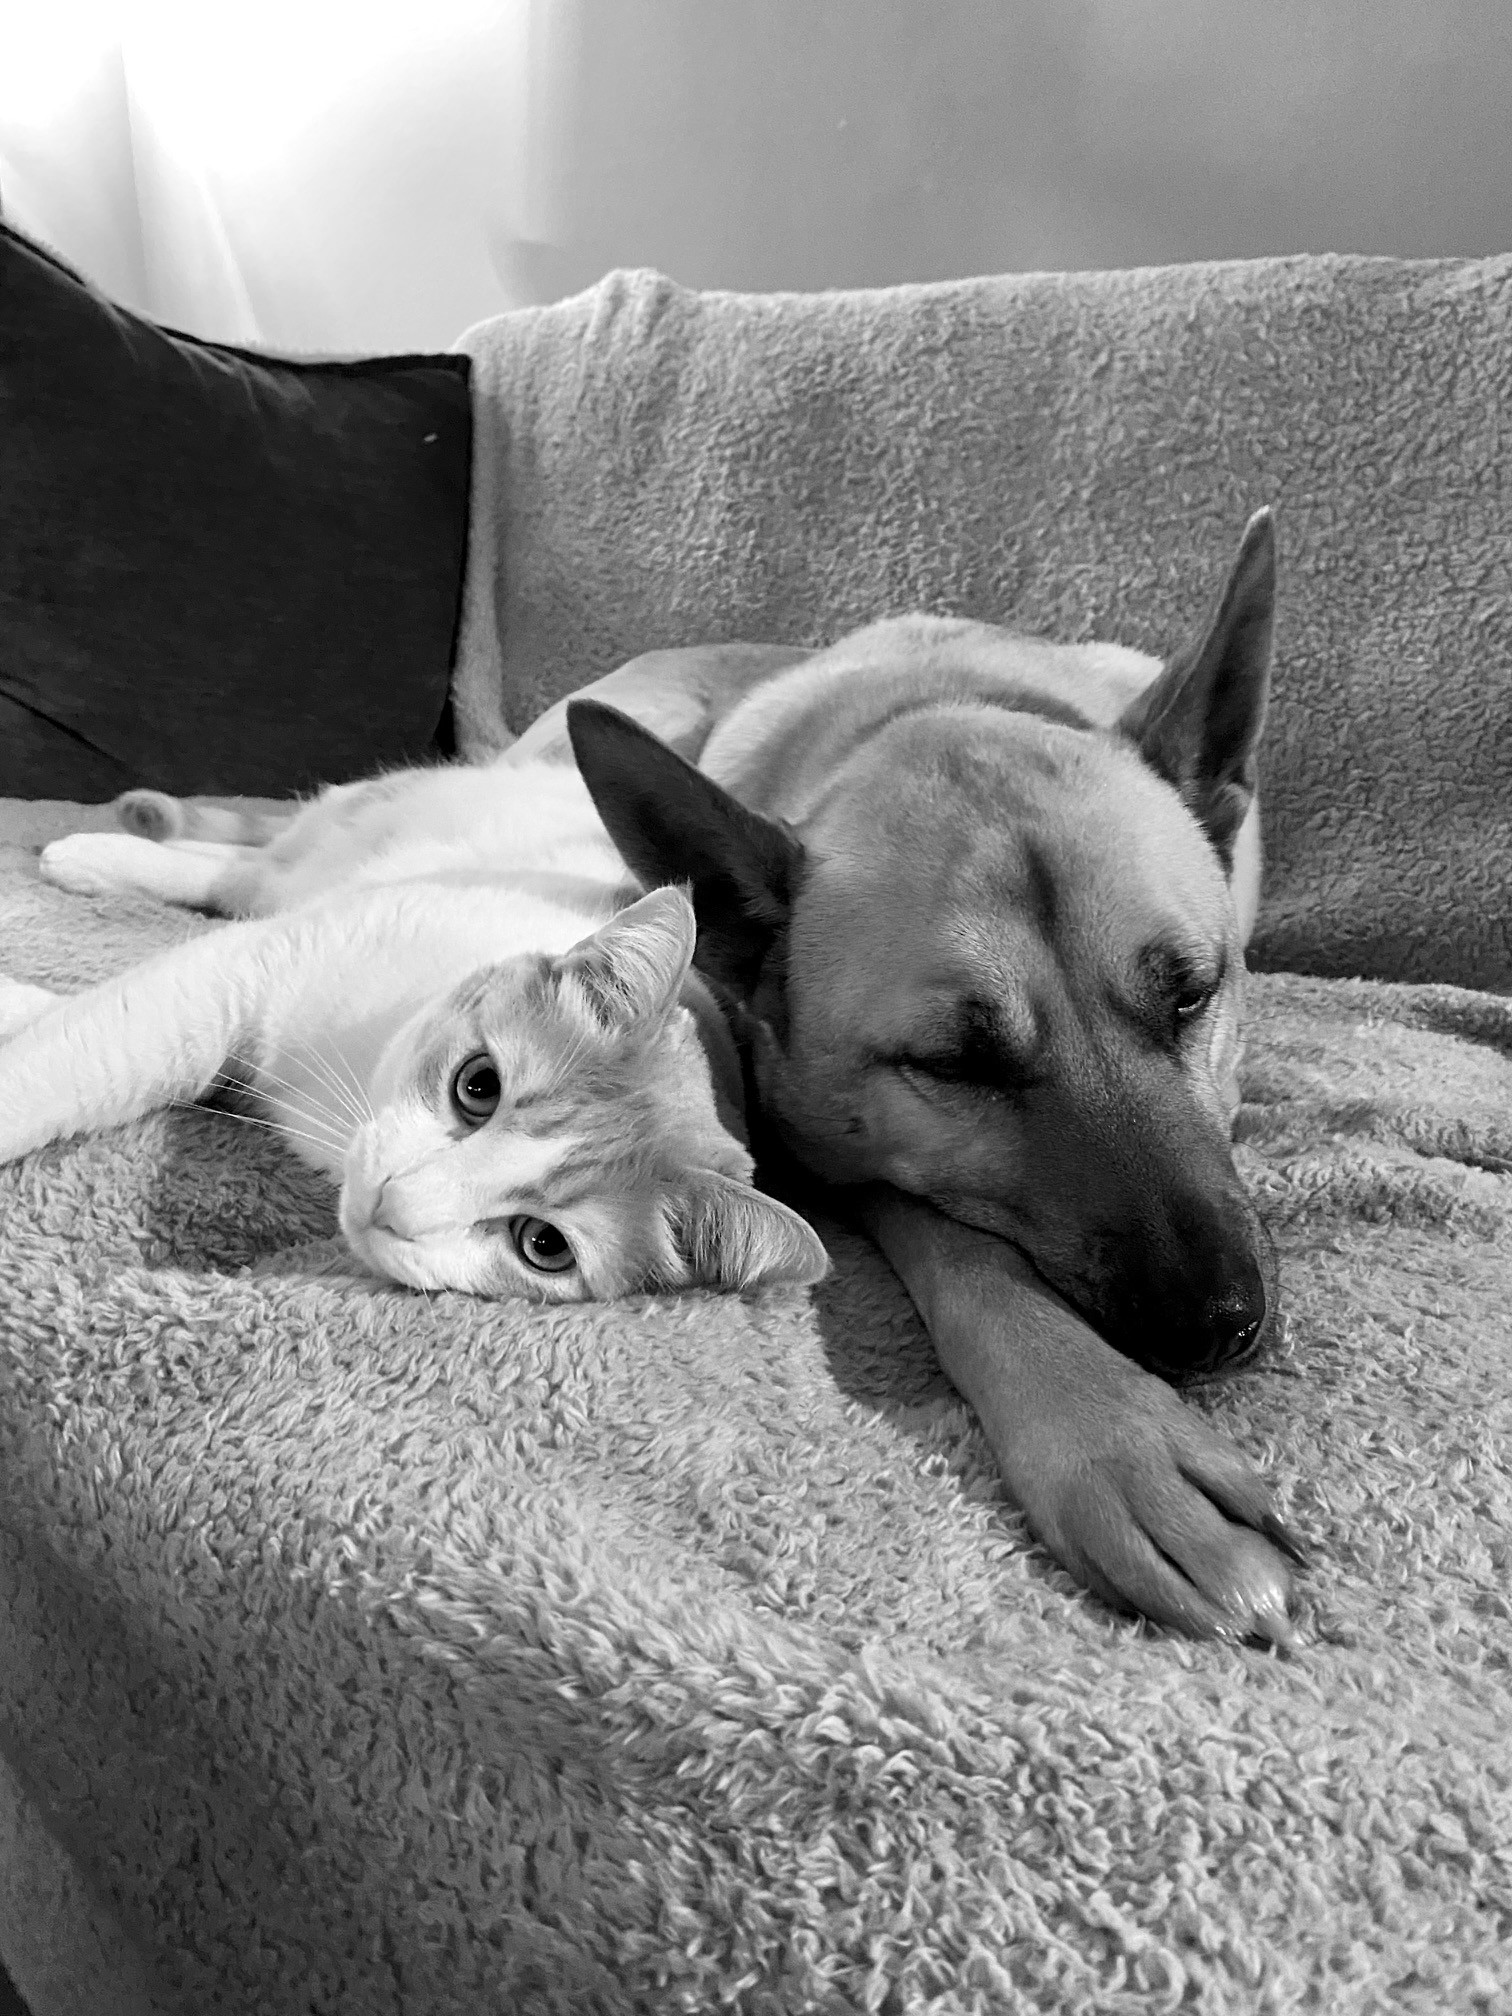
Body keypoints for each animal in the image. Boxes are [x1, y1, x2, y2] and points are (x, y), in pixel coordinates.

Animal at [0, 749, 830, 1298]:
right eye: (478, 1086)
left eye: (543, 1245)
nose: (394, 1204)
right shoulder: (256, 964)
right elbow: (99, 1051)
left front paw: (27, 1004)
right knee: (245, 869)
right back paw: (100, 851)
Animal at [516, 512, 1306, 1645]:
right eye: (954, 1065)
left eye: (1191, 993)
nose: (1217, 1325)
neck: (932, 707)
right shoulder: (825, 1159)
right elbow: (963, 1250)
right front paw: (1115, 1435)